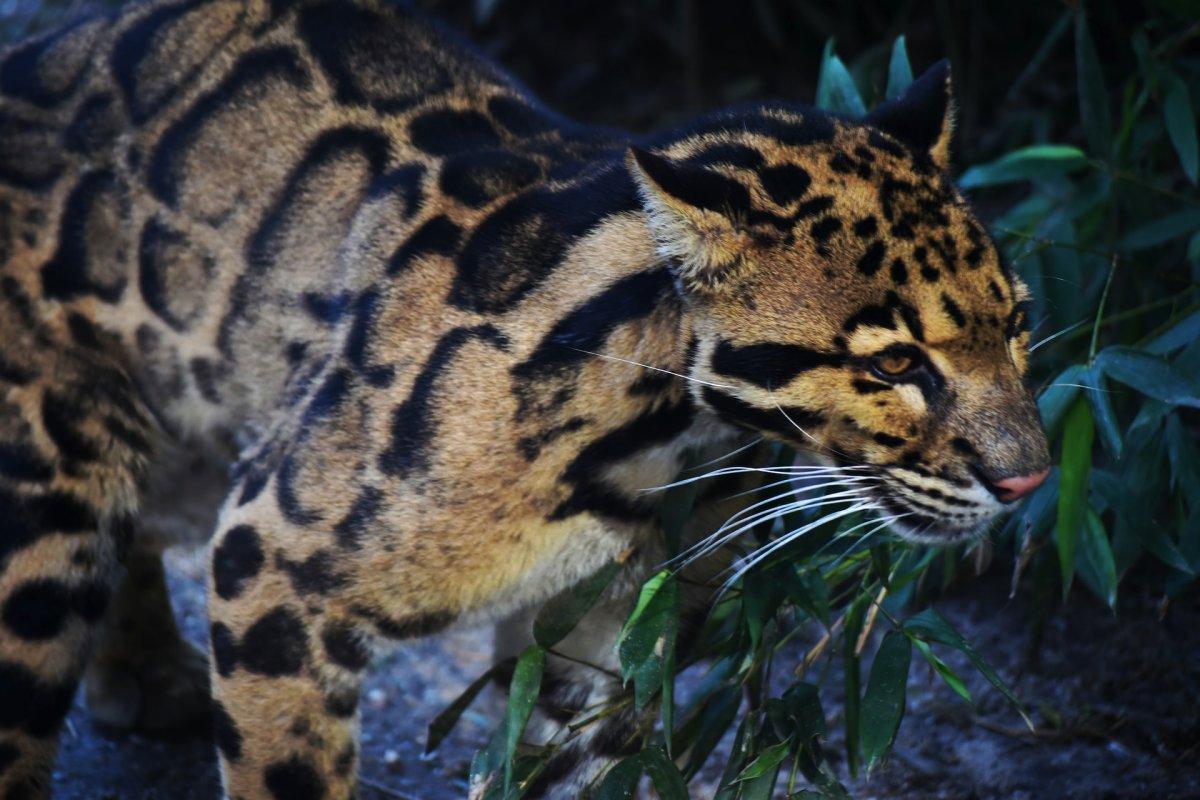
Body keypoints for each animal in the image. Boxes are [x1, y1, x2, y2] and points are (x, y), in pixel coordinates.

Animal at [0, 0, 1051, 796]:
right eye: (895, 364)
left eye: (1017, 322)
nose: (1033, 481)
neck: (663, 448)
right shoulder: (275, 554)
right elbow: (288, 774)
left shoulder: (614, 637)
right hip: (47, 496)